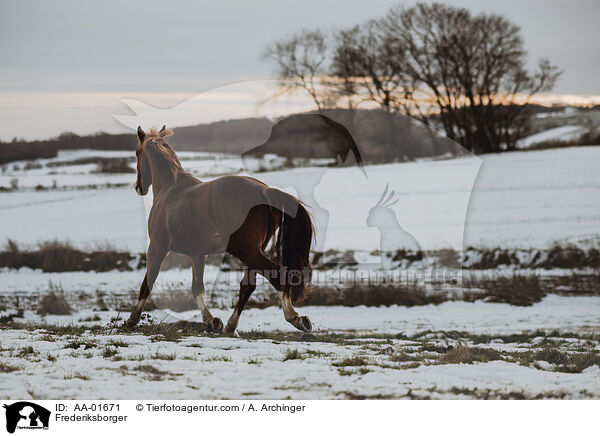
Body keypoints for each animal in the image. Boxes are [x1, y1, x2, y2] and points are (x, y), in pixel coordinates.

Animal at [126, 126, 314, 334]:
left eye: (137, 153)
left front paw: (131, 321)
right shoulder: (197, 255)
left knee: (277, 274)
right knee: (248, 285)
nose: (138, 187)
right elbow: (197, 288)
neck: (170, 190)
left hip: (244, 250)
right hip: (253, 251)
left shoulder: (157, 247)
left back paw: (295, 318)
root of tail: (264, 191)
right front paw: (211, 321)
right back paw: (231, 325)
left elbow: (147, 283)